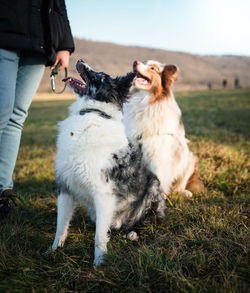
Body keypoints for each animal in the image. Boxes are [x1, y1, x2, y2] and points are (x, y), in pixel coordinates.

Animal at [52, 60, 166, 264]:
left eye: (101, 76)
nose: (79, 60)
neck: (92, 112)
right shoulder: (65, 188)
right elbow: (60, 226)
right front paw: (53, 251)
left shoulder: (103, 194)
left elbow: (99, 237)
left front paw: (99, 262)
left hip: (153, 185)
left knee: (147, 221)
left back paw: (134, 233)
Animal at [123, 59, 205, 196]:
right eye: (143, 62)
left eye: (152, 68)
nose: (135, 62)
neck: (145, 101)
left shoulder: (159, 156)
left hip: (189, 159)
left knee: (178, 186)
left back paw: (184, 192)